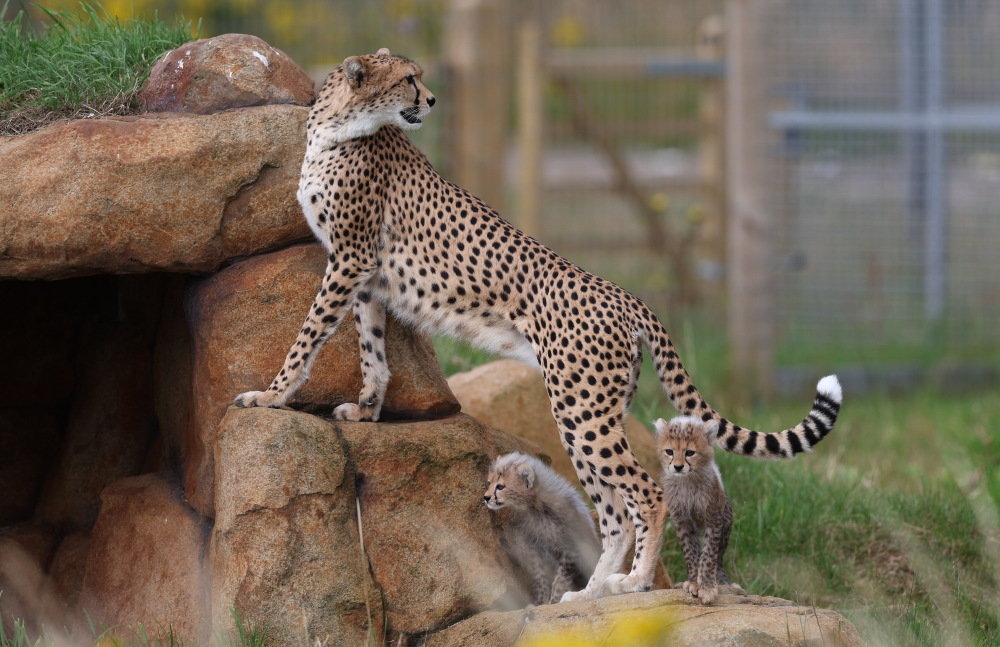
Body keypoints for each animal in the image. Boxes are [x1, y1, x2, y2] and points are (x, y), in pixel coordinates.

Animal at [236, 48, 844, 600]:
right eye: (409, 78)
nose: (430, 100)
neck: (337, 127)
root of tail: (628, 297)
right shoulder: (362, 273)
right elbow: (371, 348)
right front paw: (365, 409)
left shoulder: (349, 260)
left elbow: (308, 337)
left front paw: (270, 397)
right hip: (592, 411)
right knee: (612, 508)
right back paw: (591, 592)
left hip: (579, 408)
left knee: (646, 493)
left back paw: (636, 583)